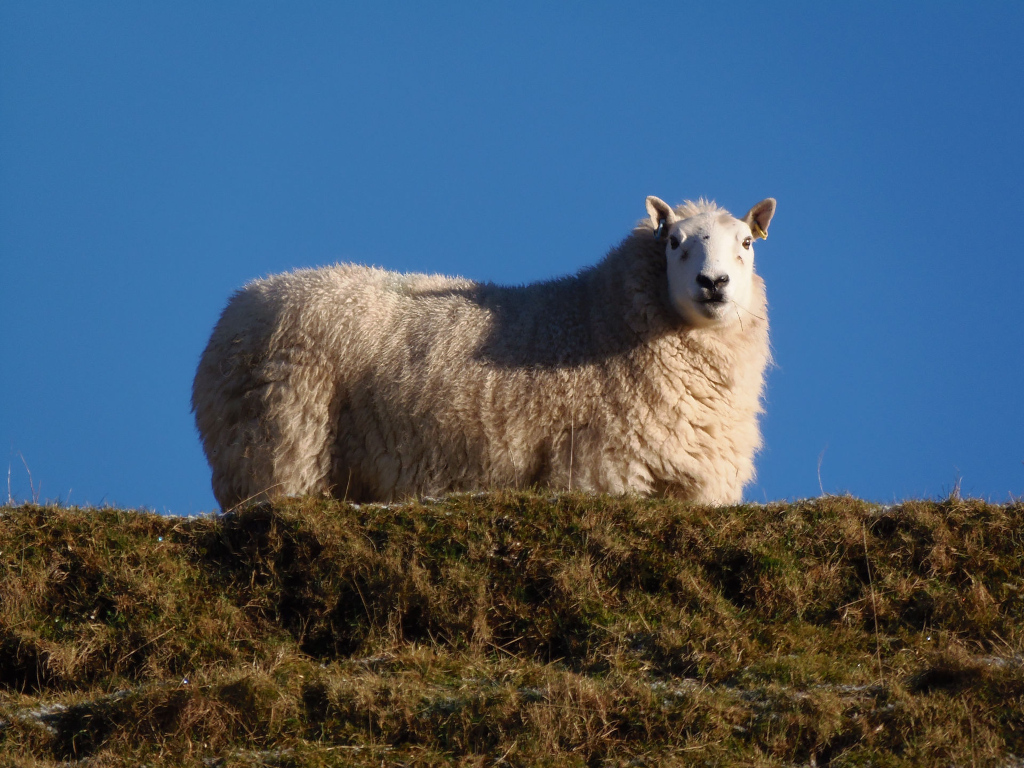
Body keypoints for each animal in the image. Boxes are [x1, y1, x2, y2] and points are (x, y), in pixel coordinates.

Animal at [192, 195, 776, 508]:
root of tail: (239, 305)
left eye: (747, 243)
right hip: (279, 445)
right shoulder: (604, 466)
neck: (597, 314)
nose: (713, 283)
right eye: (674, 242)